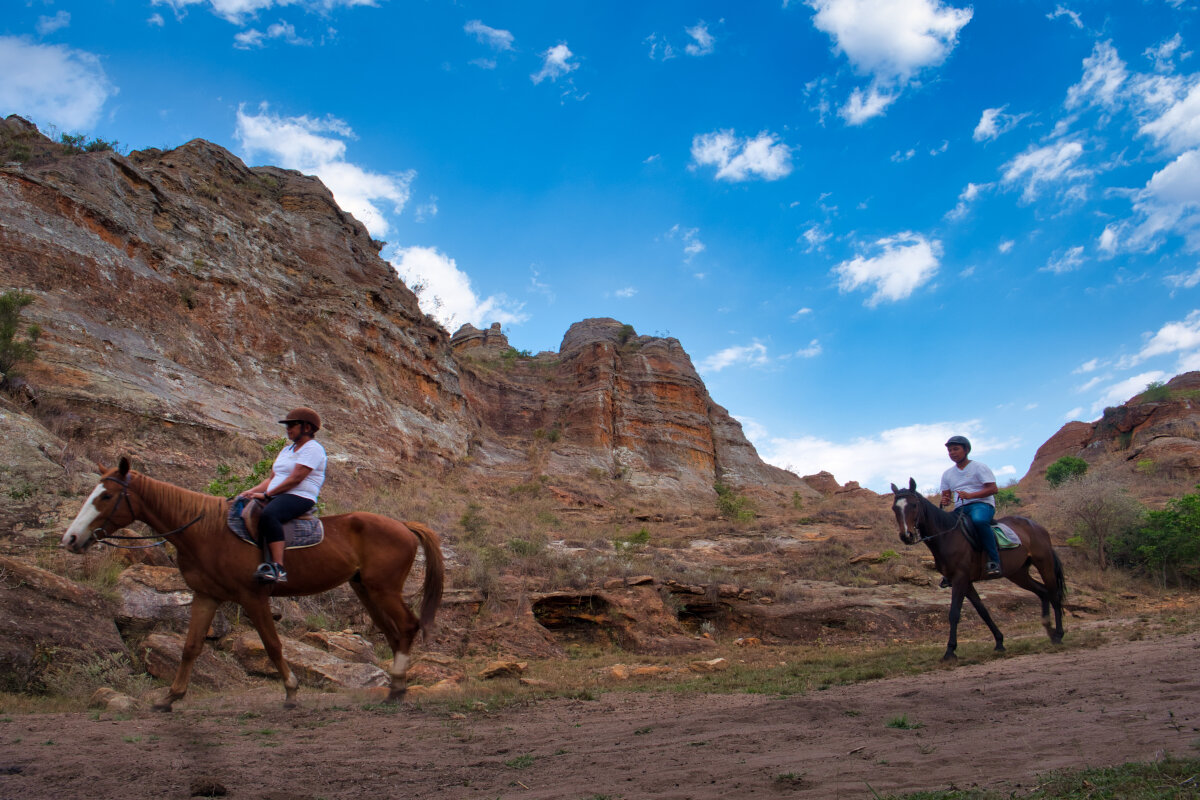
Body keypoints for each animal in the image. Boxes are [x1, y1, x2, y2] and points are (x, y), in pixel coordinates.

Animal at [62, 460, 446, 710]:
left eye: (106, 497)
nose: (71, 539)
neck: (206, 532)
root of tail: (403, 525)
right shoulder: (206, 596)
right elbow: (190, 647)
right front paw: (170, 697)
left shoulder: (253, 596)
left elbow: (273, 646)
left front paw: (291, 691)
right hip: (364, 589)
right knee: (392, 632)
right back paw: (396, 686)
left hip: (383, 589)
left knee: (407, 626)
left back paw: (397, 688)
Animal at [888, 479, 1065, 662]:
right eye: (895, 508)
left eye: (914, 505)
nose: (906, 536)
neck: (947, 536)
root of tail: (1037, 526)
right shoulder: (964, 582)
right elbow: (983, 611)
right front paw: (999, 642)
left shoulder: (960, 579)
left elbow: (954, 613)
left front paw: (950, 651)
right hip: (1018, 574)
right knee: (1042, 592)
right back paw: (1049, 630)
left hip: (1044, 564)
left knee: (1054, 594)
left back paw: (1058, 634)